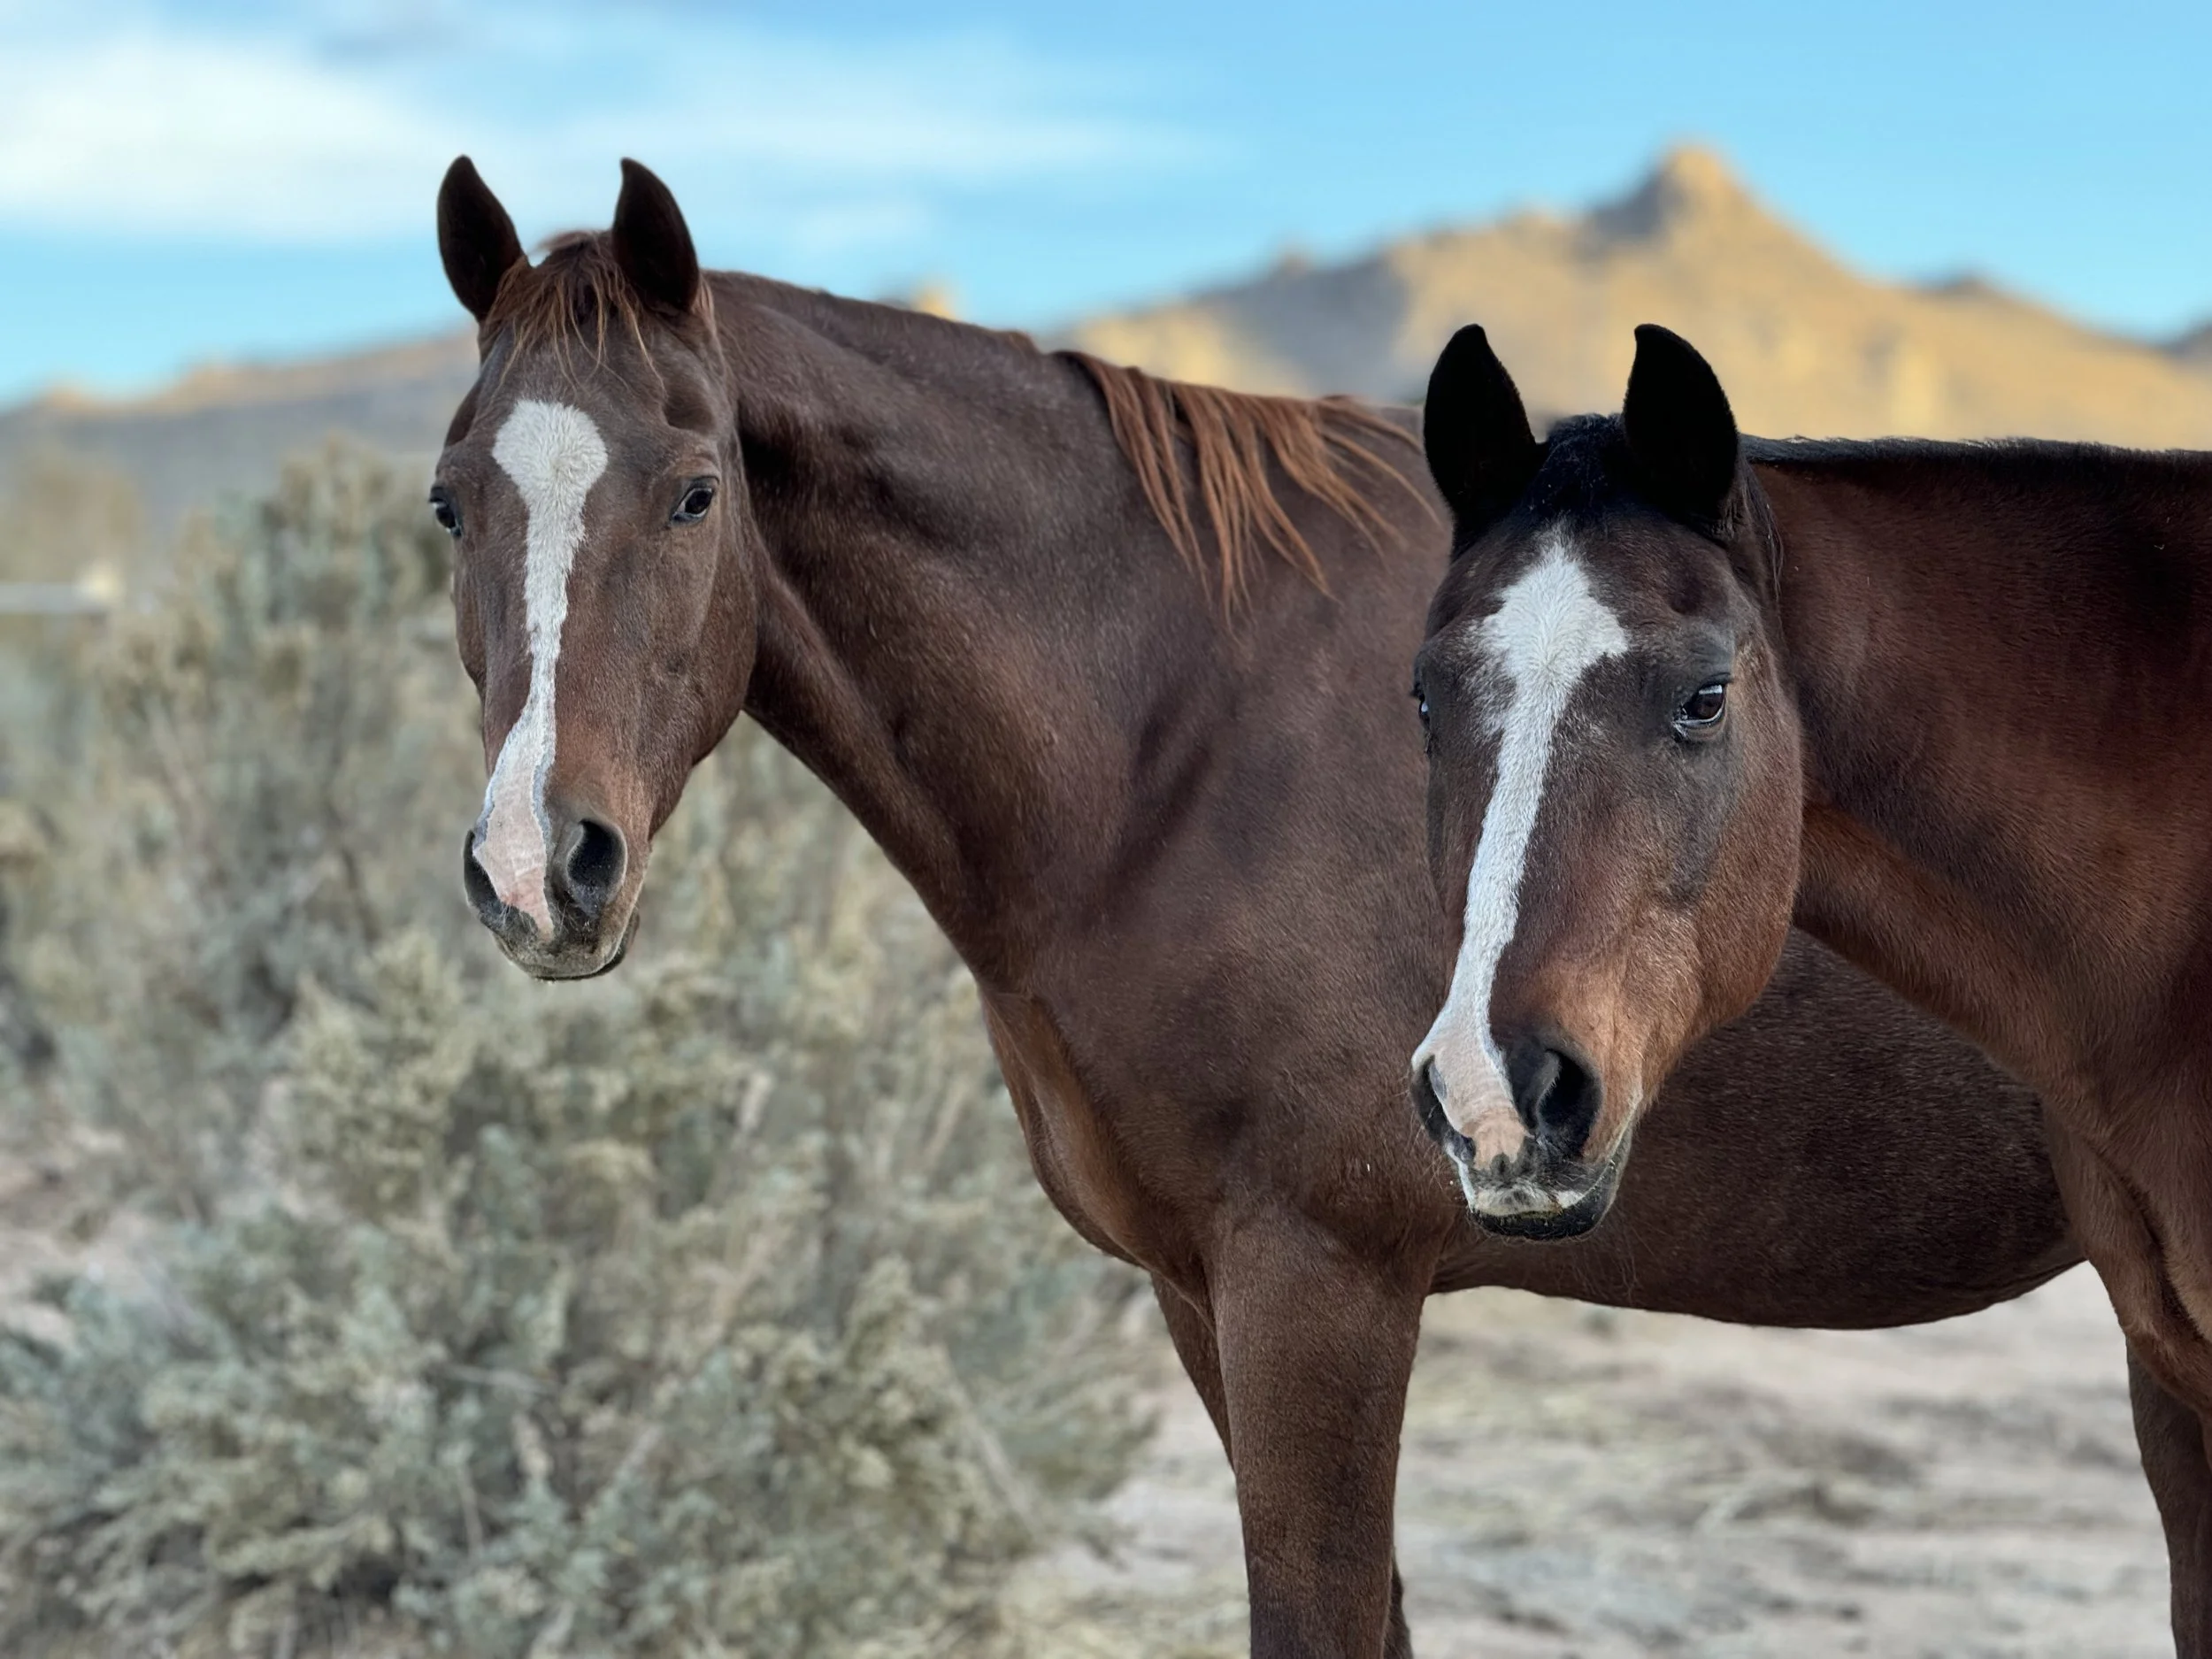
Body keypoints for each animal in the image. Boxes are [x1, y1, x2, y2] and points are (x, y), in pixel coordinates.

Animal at [430, 157, 2081, 1657]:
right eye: (449, 505)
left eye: (697, 492)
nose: (534, 865)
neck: (1179, 742)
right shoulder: (1198, 1287)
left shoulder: (1318, 1285)